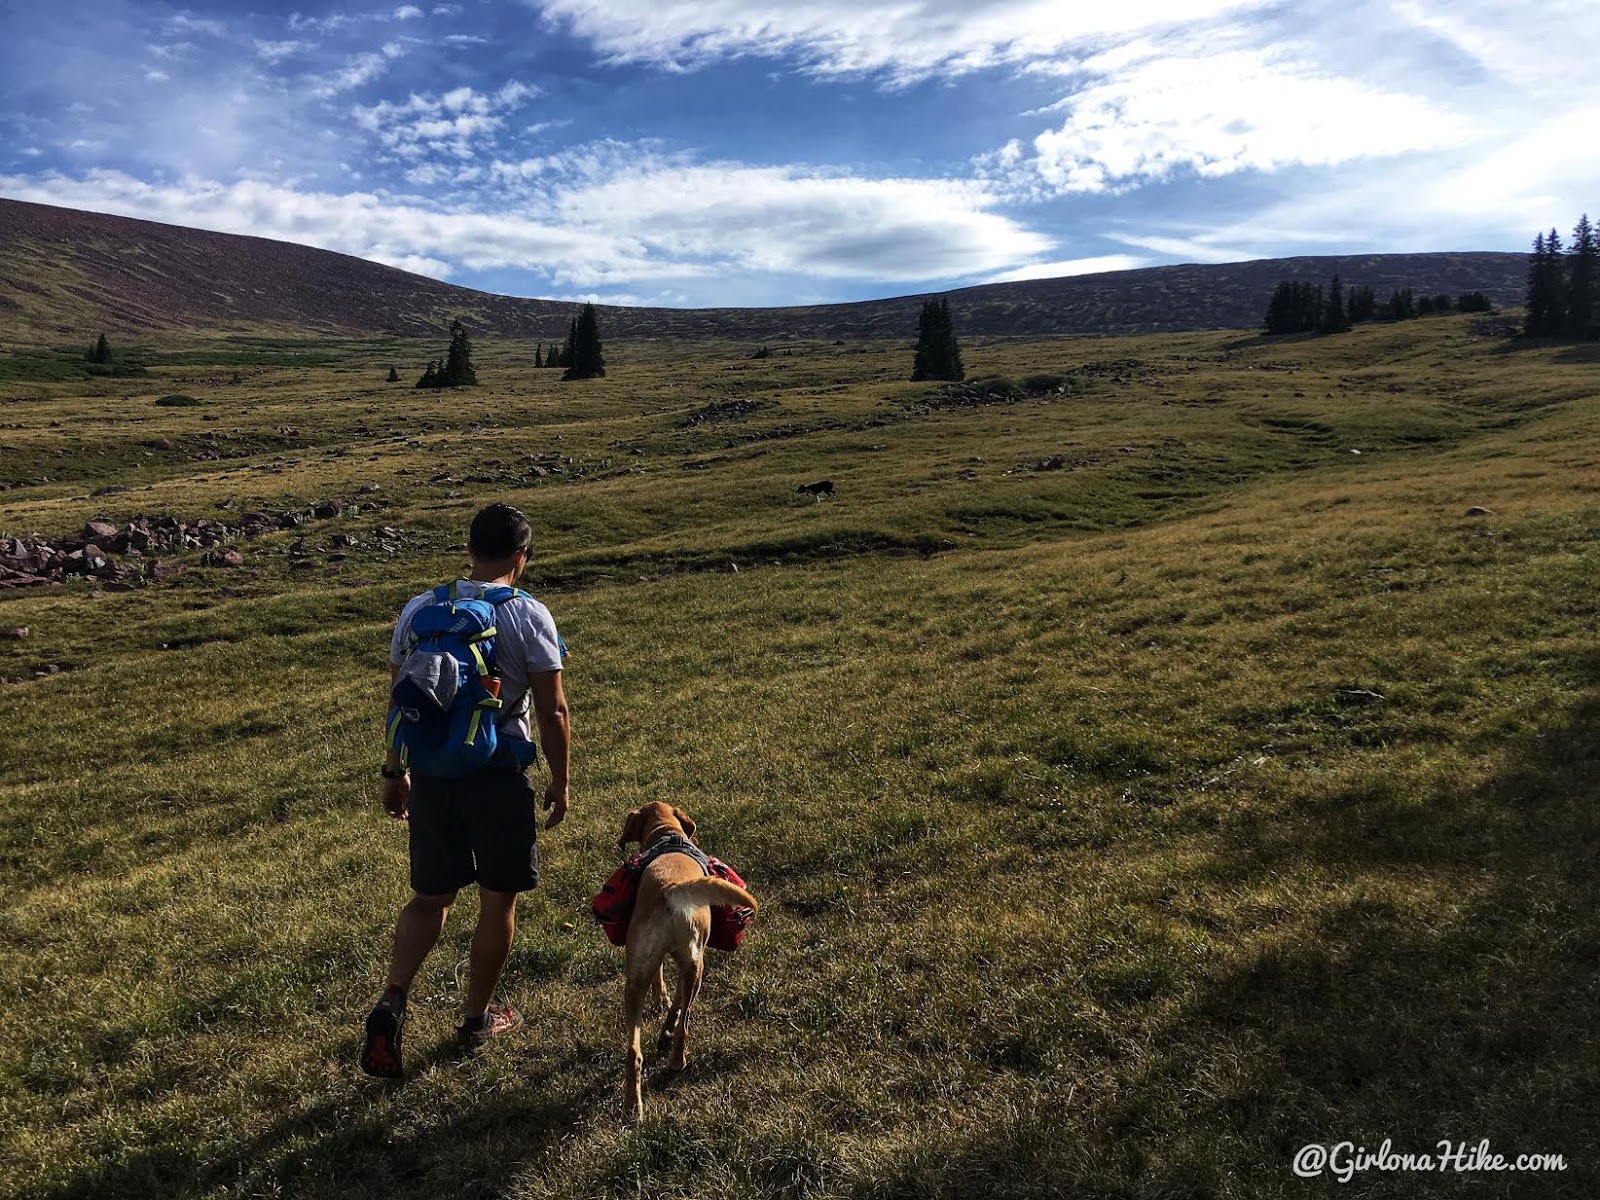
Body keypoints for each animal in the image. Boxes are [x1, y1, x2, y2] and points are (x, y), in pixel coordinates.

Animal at [614, 803, 758, 1126]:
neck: (666, 834)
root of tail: (671, 888)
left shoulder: (662, 965)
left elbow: (666, 992)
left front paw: (663, 1016)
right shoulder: (690, 964)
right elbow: (677, 1006)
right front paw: (666, 1026)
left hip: (635, 979)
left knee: (633, 1051)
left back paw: (632, 1106)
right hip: (696, 966)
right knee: (685, 1024)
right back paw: (676, 1061)